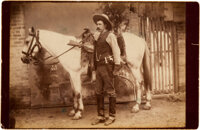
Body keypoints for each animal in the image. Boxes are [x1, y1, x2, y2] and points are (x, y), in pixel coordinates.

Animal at [20, 27, 152, 120]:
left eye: (27, 41)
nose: (22, 58)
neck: (69, 48)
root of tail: (140, 39)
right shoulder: (72, 75)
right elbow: (74, 92)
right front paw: (74, 110)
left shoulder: (75, 74)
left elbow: (78, 93)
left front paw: (78, 113)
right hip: (135, 67)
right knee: (143, 82)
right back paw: (147, 103)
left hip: (134, 66)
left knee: (139, 83)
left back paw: (137, 106)